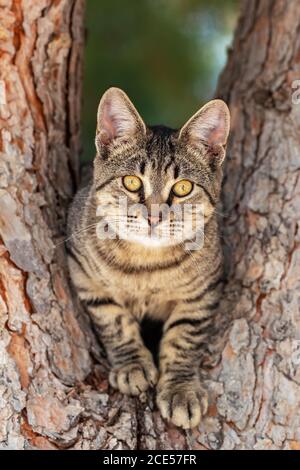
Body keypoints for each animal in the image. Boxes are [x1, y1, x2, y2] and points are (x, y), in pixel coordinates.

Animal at [67, 88, 230, 430]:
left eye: (183, 187)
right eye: (131, 182)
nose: (154, 216)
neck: (146, 264)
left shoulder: (203, 293)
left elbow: (184, 338)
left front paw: (181, 390)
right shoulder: (83, 274)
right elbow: (115, 322)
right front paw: (132, 365)